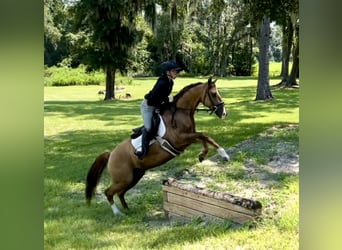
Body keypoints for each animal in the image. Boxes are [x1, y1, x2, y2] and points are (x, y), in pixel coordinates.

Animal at [85, 77, 230, 216]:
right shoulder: (181, 139)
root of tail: (111, 154)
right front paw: (224, 154)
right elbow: (204, 136)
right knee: (108, 192)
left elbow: (203, 138)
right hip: (123, 179)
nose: (224, 113)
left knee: (120, 193)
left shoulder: (188, 138)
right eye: (214, 94)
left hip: (134, 176)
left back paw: (127, 210)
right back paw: (118, 213)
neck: (180, 113)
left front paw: (203, 155)